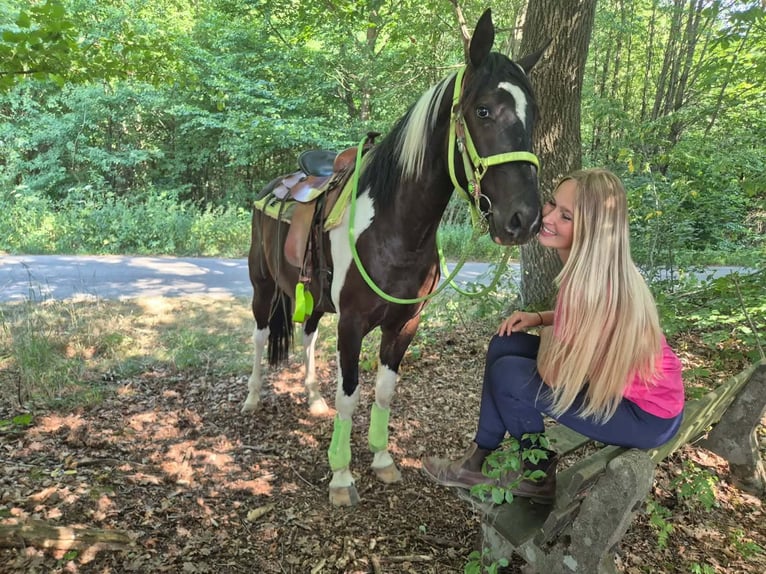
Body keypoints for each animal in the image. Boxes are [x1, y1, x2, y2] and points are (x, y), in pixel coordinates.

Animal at [242, 8, 544, 506]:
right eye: (483, 110)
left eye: (533, 115)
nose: (525, 218)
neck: (395, 230)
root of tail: (275, 184)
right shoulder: (352, 323)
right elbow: (350, 394)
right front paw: (341, 477)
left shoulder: (404, 323)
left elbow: (384, 391)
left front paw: (382, 459)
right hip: (263, 286)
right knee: (260, 334)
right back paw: (252, 397)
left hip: (312, 297)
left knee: (306, 336)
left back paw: (312, 397)